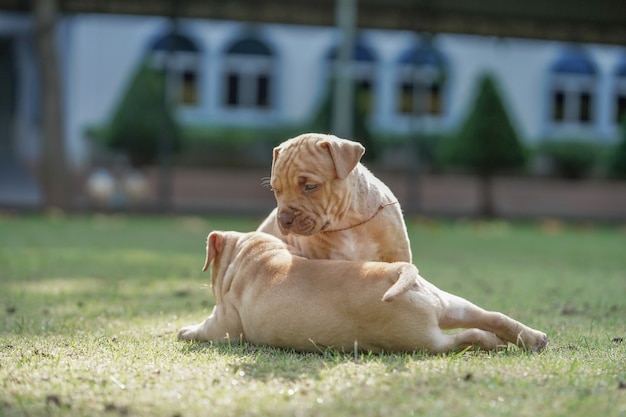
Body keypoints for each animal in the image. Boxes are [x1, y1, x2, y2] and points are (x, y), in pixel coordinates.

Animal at [177, 229, 544, 352]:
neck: (257, 255)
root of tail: (397, 271)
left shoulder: (224, 323)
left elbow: (205, 328)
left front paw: (184, 331)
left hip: (424, 340)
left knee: (466, 338)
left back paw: (493, 343)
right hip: (450, 303)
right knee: (492, 316)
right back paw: (534, 339)